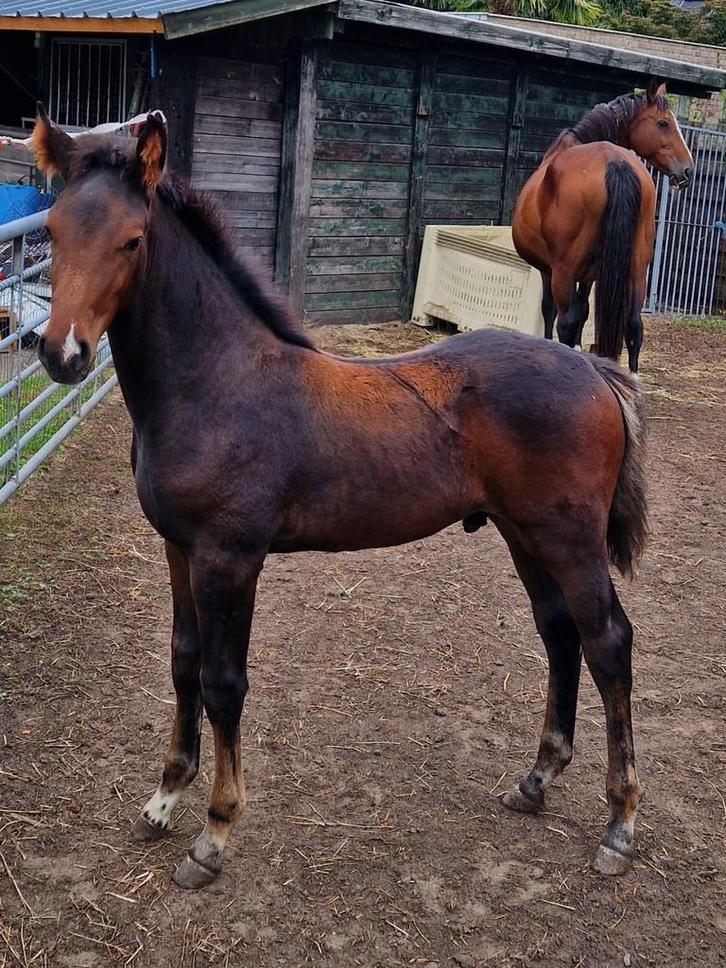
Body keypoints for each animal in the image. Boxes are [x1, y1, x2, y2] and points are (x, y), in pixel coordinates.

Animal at [34, 108, 648, 890]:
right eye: (53, 231)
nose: (63, 354)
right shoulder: (179, 549)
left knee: (608, 642)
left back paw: (620, 824)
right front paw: (163, 799)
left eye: (132, 240)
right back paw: (536, 780)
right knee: (560, 632)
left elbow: (223, 682)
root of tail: (595, 370)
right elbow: (182, 663)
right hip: (526, 535)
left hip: (570, 540)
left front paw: (213, 833)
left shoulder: (231, 558)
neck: (216, 382)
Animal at [513, 79, 693, 374]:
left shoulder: (548, 270)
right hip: (637, 268)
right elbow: (584, 312)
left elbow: (552, 312)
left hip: (564, 271)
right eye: (663, 123)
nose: (688, 170)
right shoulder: (589, 275)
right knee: (634, 325)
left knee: (565, 321)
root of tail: (614, 162)